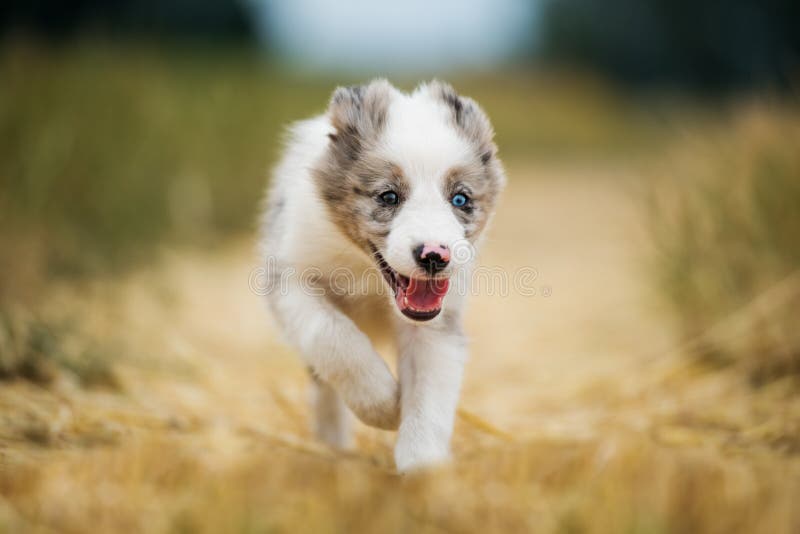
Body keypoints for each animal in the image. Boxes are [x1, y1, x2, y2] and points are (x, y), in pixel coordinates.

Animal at [260, 79, 504, 474]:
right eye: (388, 196)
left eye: (460, 199)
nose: (435, 256)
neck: (368, 274)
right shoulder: (290, 277)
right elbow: (333, 337)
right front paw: (383, 406)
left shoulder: (436, 322)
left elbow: (429, 398)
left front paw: (423, 472)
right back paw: (332, 445)